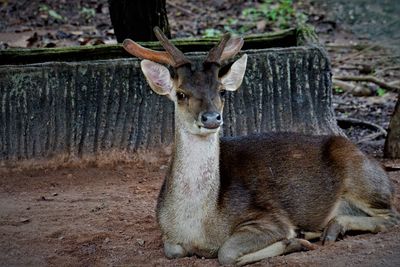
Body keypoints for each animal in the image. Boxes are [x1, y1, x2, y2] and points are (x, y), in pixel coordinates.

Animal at [123, 28, 398, 266]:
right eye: (180, 94)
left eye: (222, 91)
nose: (211, 118)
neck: (198, 226)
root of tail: (381, 170)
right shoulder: (168, 235)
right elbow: (173, 250)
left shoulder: (268, 218)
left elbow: (226, 252)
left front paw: (296, 240)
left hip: (362, 179)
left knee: (392, 217)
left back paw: (329, 230)